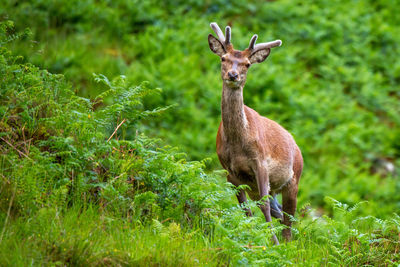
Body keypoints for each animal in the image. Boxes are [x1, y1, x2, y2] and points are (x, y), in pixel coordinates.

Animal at [209, 23, 304, 245]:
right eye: (223, 58)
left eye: (247, 64)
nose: (233, 75)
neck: (238, 144)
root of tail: (298, 148)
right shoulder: (229, 171)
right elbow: (245, 207)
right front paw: (250, 237)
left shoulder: (260, 163)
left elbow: (266, 208)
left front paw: (273, 243)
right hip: (264, 187)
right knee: (278, 211)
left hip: (293, 179)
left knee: (289, 216)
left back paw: (287, 242)